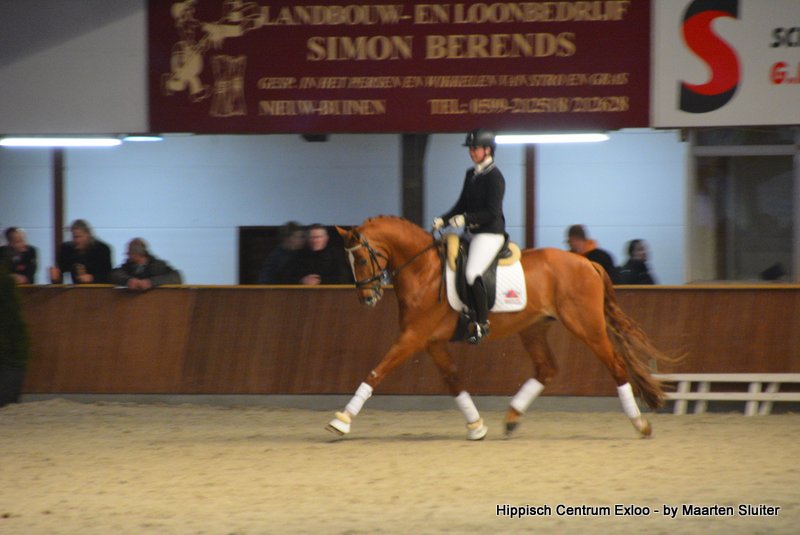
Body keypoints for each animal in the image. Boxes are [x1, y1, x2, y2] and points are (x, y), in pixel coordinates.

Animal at [327, 215, 674, 440]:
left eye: (360, 260)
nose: (367, 299)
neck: (424, 271)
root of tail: (587, 262)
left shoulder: (413, 337)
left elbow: (377, 371)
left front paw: (341, 420)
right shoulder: (431, 341)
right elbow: (453, 380)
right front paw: (476, 425)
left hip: (586, 326)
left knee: (616, 365)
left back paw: (639, 424)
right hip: (533, 328)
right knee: (547, 368)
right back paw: (511, 418)